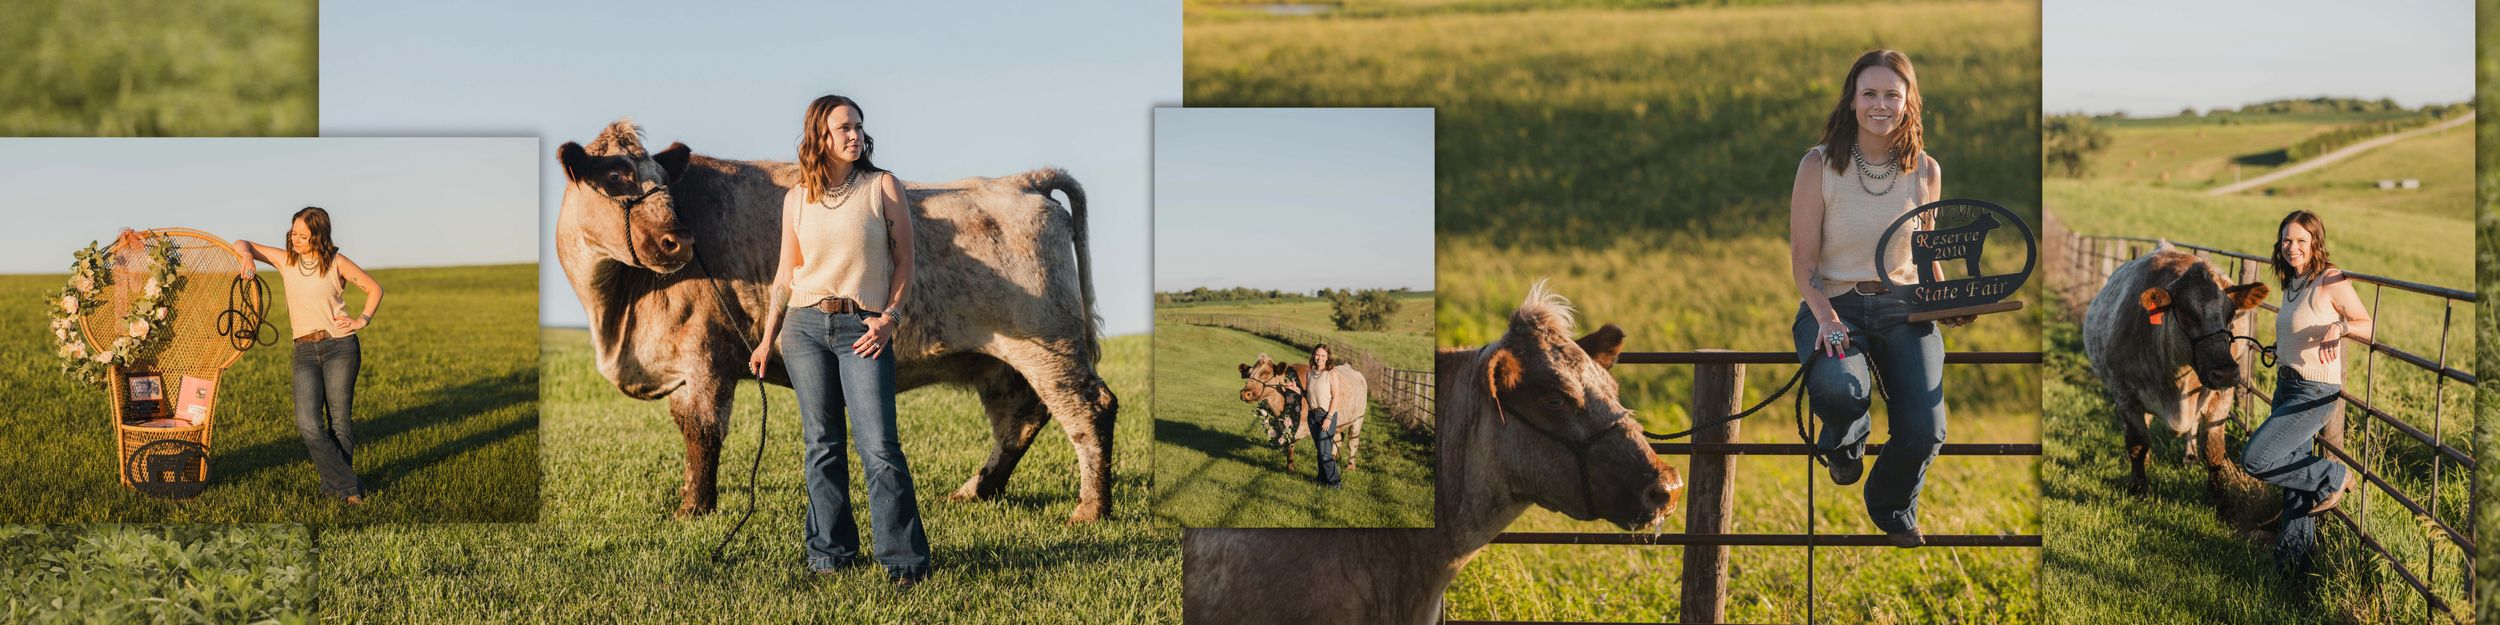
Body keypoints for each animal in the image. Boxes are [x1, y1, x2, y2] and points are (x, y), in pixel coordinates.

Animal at [554, 119, 1118, 522]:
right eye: (614, 176)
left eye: (663, 180)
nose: (679, 240)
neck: (615, 312)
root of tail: (1020, 182)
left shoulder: (705, 356)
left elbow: (702, 431)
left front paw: (693, 508)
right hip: (1000, 361)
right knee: (1019, 419)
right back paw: (974, 491)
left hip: (1047, 345)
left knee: (1090, 410)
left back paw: (1090, 510)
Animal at [1238, 354, 1368, 471]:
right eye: (1249, 374)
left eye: (1265, 373)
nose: (1245, 393)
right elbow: (1290, 445)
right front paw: (1290, 467)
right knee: (1338, 438)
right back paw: (1334, 459)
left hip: (1358, 420)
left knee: (1353, 442)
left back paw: (1350, 467)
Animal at [2081, 243, 2267, 496]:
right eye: (2186, 313)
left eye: (2231, 314)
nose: (2226, 372)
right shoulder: (2125, 394)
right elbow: (2138, 442)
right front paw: (2139, 487)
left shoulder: (2223, 395)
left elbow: (2214, 448)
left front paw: (2216, 494)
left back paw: (2189, 457)